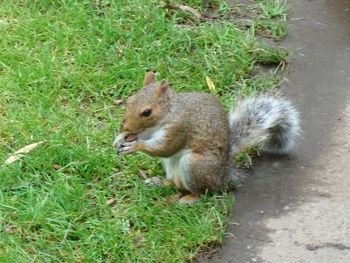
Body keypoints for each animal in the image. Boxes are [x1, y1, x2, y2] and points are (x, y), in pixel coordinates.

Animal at [113, 73, 300, 205]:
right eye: (129, 100)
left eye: (147, 112)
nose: (125, 127)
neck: (170, 111)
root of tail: (223, 176)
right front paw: (120, 138)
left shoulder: (179, 128)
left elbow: (165, 148)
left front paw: (135, 146)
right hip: (173, 167)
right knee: (175, 184)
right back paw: (159, 182)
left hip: (195, 165)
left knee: (204, 191)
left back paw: (190, 198)